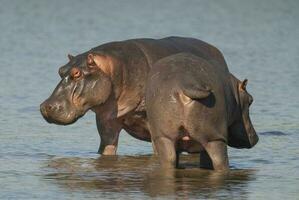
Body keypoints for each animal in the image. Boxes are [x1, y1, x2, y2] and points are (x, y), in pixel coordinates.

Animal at [39, 36, 258, 157]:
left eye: (77, 73)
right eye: (60, 70)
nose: (45, 106)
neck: (117, 70)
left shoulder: (154, 128)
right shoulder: (106, 123)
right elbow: (106, 149)